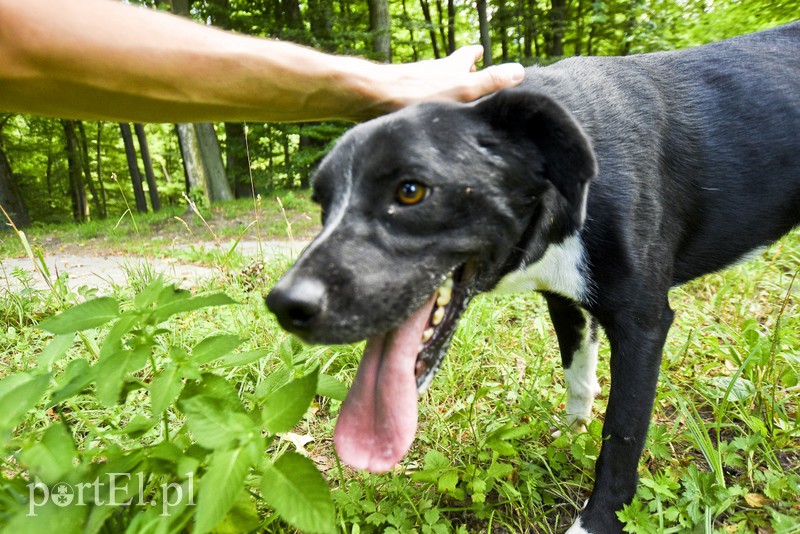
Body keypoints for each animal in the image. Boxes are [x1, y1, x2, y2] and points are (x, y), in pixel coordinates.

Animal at [264, 24, 800, 534]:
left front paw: (597, 522)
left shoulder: (643, 324)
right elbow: (579, 379)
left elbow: (623, 434)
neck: (567, 180)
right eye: (321, 202)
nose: (285, 305)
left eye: (411, 191)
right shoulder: (564, 300)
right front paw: (570, 438)